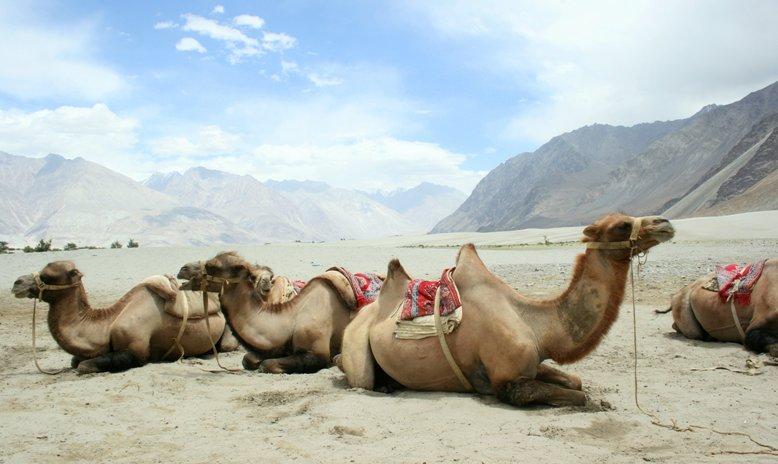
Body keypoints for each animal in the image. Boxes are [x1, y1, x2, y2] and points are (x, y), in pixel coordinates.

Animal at [12, 260, 236, 376]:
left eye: (48, 275)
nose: (17, 283)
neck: (107, 324)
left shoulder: (136, 350)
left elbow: (83, 366)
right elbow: (75, 361)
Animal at [200, 250, 370, 374]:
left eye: (237, 267)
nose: (204, 265)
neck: (292, 317)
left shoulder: (318, 352)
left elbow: (267, 365)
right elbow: (247, 359)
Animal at [340, 214, 672, 406]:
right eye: (622, 225)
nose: (665, 223)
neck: (539, 327)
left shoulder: (532, 362)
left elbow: (575, 381)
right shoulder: (507, 383)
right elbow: (580, 396)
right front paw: (596, 402)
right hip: (355, 350)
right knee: (356, 375)